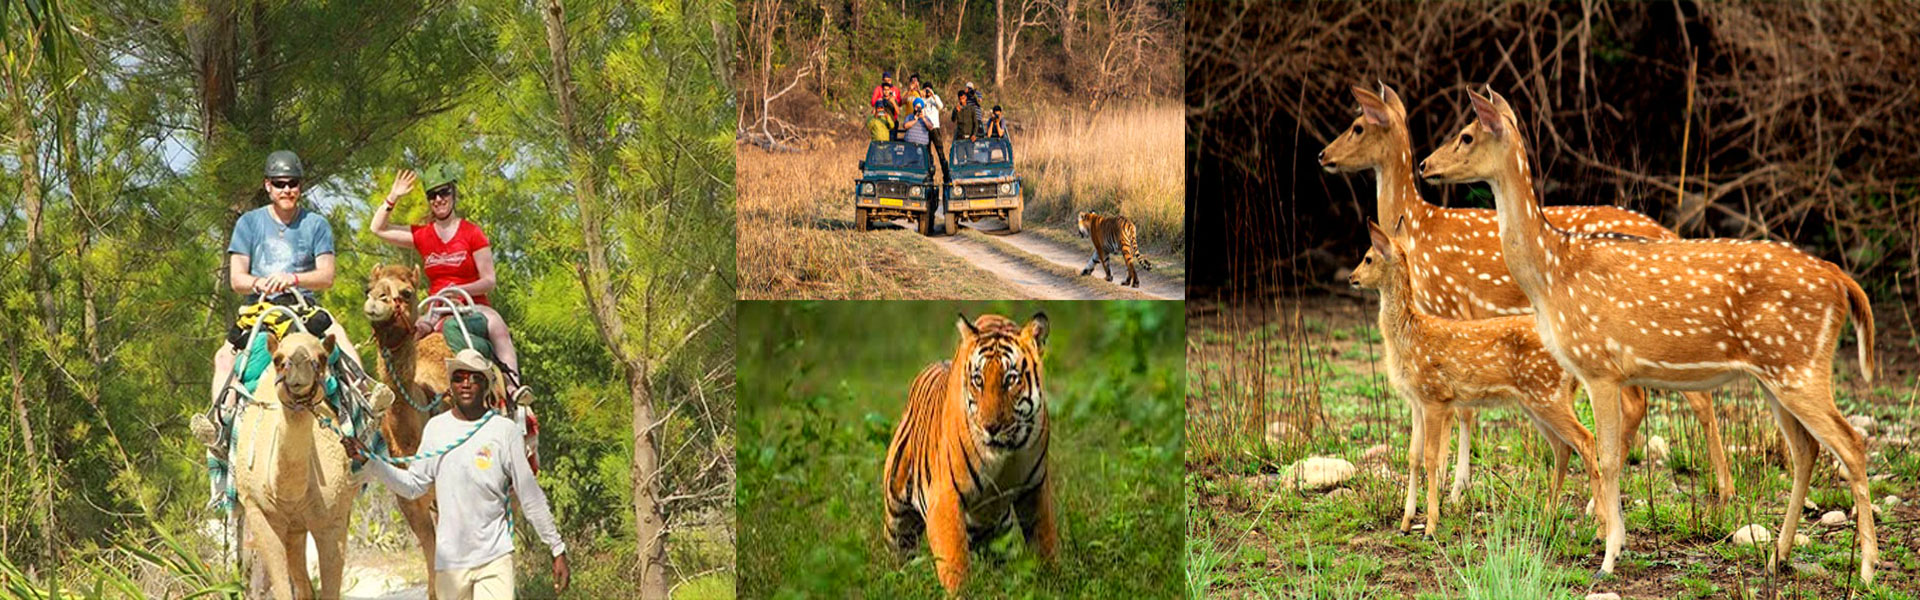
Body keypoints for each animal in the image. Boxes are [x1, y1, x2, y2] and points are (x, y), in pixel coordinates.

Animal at [231, 331, 358, 600]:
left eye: (322, 358)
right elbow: (282, 588)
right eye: (279, 359)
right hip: (292, 529)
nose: (298, 365)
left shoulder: (332, 519)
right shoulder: (261, 512)